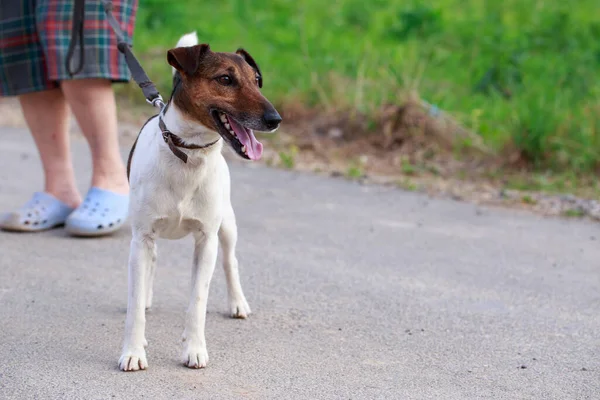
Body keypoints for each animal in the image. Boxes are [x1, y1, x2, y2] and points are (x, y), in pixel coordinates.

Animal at [119, 32, 284, 372]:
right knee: (151, 264)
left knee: (230, 261)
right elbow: (134, 305)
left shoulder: (206, 240)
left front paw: (193, 349)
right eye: (225, 79)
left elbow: (197, 300)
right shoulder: (141, 237)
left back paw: (237, 303)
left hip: (228, 225)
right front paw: (133, 351)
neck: (189, 154)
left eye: (257, 81)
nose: (275, 119)